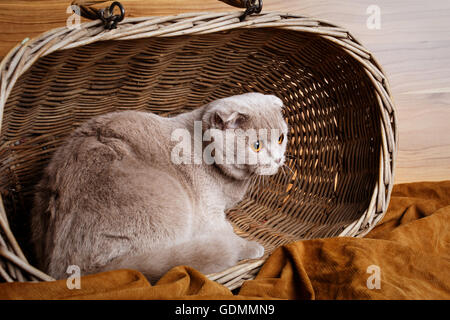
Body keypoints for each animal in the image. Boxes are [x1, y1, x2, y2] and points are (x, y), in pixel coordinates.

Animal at [32, 91, 292, 282]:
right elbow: (227, 234)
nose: (279, 159)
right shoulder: (209, 214)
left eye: (281, 138)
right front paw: (251, 247)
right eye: (257, 146)